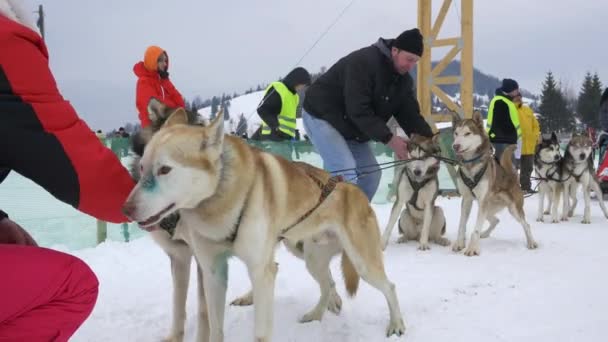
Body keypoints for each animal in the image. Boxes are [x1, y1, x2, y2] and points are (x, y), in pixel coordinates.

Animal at [121, 100, 406, 340]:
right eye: (143, 167)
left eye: (165, 169)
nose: (126, 209)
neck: (221, 201)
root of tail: (354, 189)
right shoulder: (212, 271)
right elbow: (214, 326)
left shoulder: (260, 273)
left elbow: (259, 332)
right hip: (312, 258)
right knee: (328, 284)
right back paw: (316, 314)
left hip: (362, 263)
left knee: (390, 286)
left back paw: (396, 324)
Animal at [448, 112, 536, 256]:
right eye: (456, 133)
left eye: (467, 133)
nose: (456, 146)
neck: (471, 165)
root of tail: (511, 175)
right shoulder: (467, 199)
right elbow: (462, 225)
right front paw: (459, 244)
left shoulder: (482, 201)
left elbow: (476, 229)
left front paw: (472, 248)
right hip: (487, 208)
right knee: (495, 220)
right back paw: (484, 234)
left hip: (511, 209)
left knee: (526, 225)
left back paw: (532, 242)